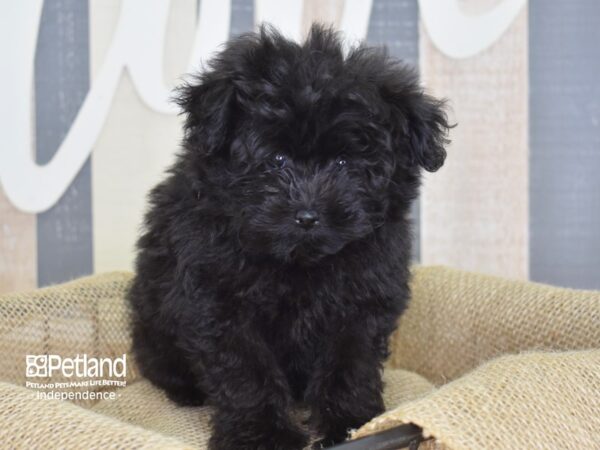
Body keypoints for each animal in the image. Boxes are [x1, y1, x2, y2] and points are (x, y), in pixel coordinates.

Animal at [130, 25, 450, 450]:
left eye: (345, 163)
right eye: (276, 160)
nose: (308, 215)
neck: (300, 264)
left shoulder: (361, 304)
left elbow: (350, 365)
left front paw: (351, 424)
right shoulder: (218, 304)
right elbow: (246, 373)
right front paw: (261, 436)